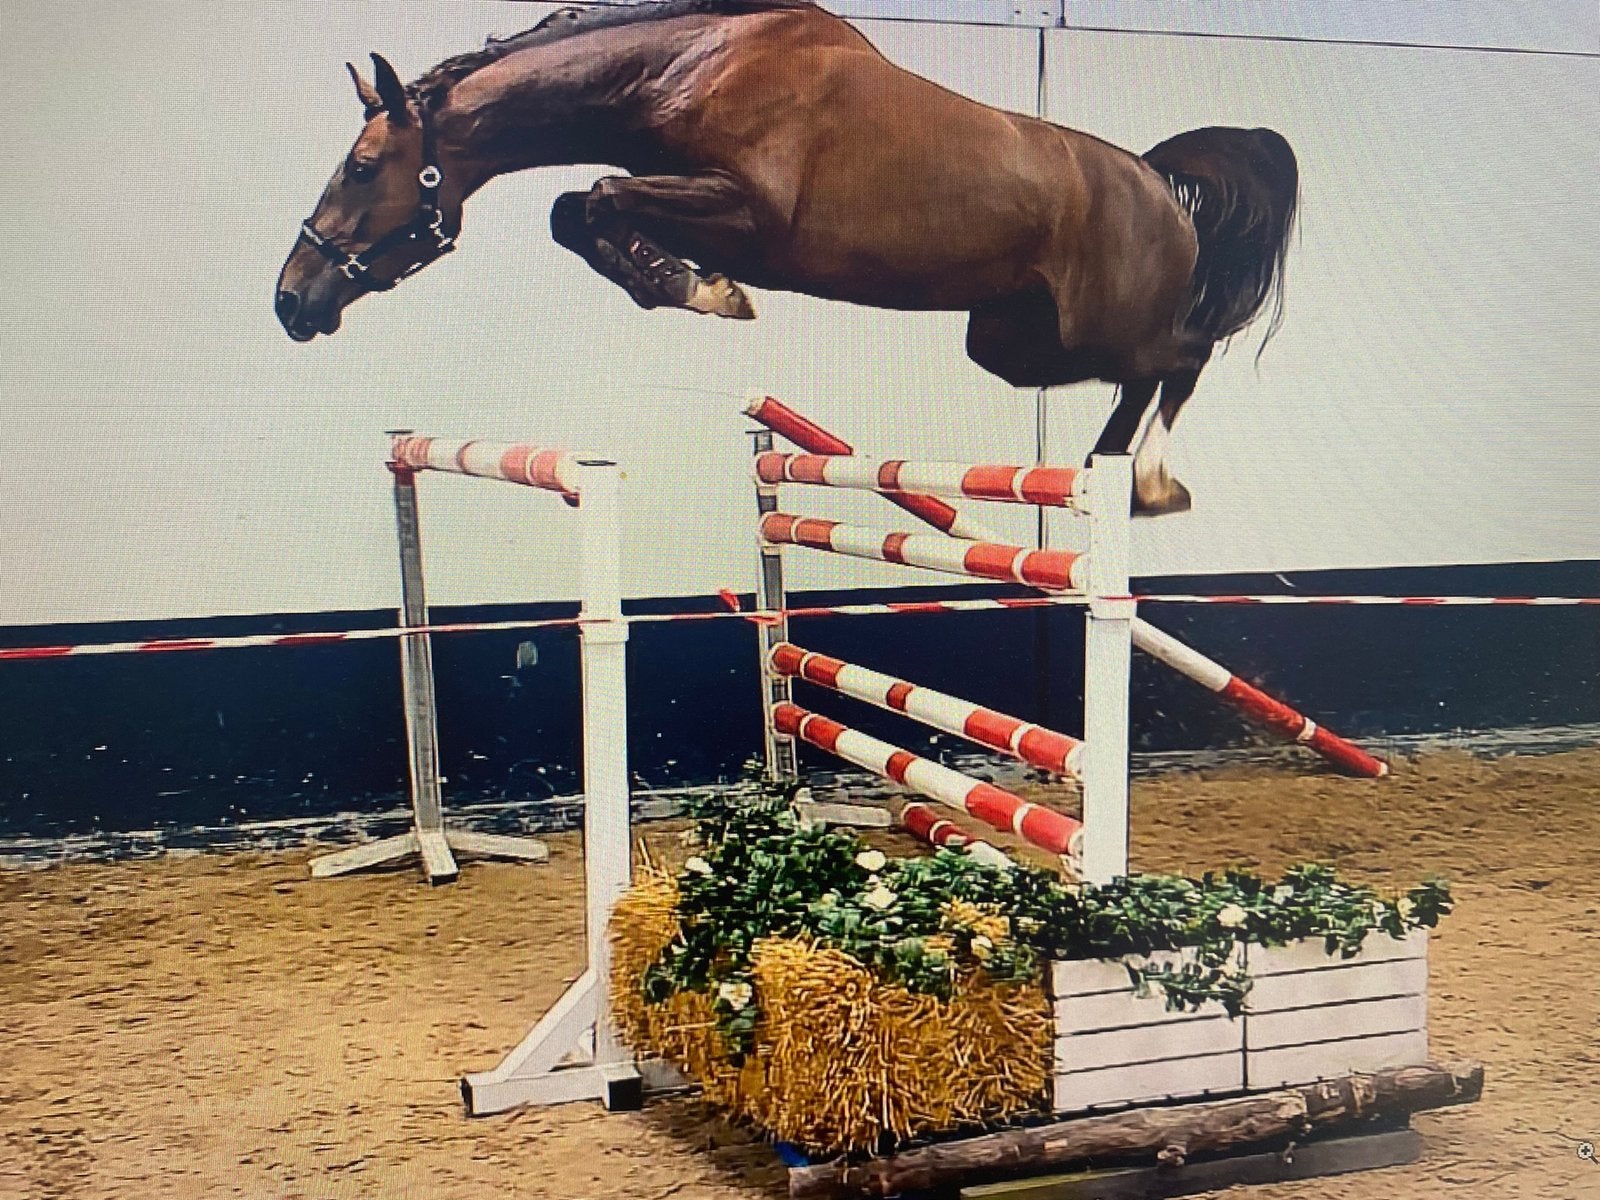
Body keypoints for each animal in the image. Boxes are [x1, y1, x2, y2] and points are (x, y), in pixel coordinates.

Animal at [275, 0, 1298, 515]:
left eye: (362, 166)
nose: (291, 300)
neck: (687, 64)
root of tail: (1157, 181)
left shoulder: (749, 214)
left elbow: (592, 198)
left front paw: (706, 292)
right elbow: (578, 212)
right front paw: (687, 285)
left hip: (1096, 328)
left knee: (1180, 356)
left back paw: (1147, 480)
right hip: (1013, 344)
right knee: (1142, 373)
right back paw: (1110, 472)